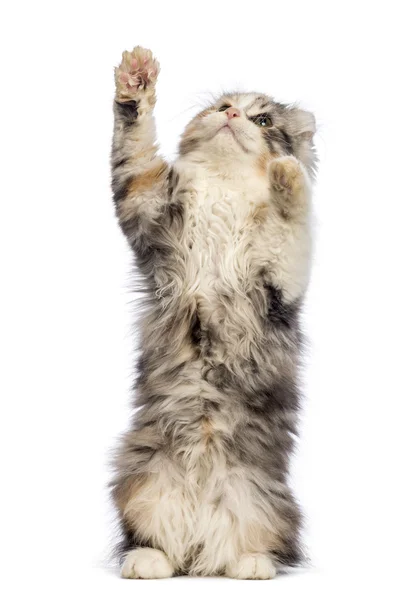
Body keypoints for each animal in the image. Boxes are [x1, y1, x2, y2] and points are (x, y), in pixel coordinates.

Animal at [110, 44, 316, 580]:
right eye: (222, 105)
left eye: (262, 119)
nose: (231, 115)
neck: (225, 185)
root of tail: (202, 536)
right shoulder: (143, 200)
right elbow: (133, 143)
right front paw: (135, 80)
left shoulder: (281, 279)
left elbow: (292, 225)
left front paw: (287, 176)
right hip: (141, 481)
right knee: (158, 541)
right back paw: (149, 561)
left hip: (270, 499)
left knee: (256, 544)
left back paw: (251, 564)